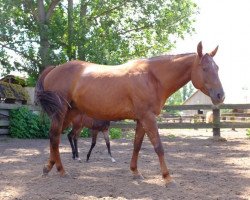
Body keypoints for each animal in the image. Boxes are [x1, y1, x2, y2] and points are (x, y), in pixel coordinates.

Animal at [34, 42, 225, 186]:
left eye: (217, 68)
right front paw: (168, 178)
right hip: (61, 114)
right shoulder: (148, 118)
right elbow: (159, 147)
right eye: (205, 68)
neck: (152, 77)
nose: (220, 96)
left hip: (68, 115)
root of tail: (53, 69)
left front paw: (135, 172)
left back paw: (49, 167)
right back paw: (61, 170)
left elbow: (137, 145)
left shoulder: (141, 120)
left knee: (55, 137)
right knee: (55, 137)